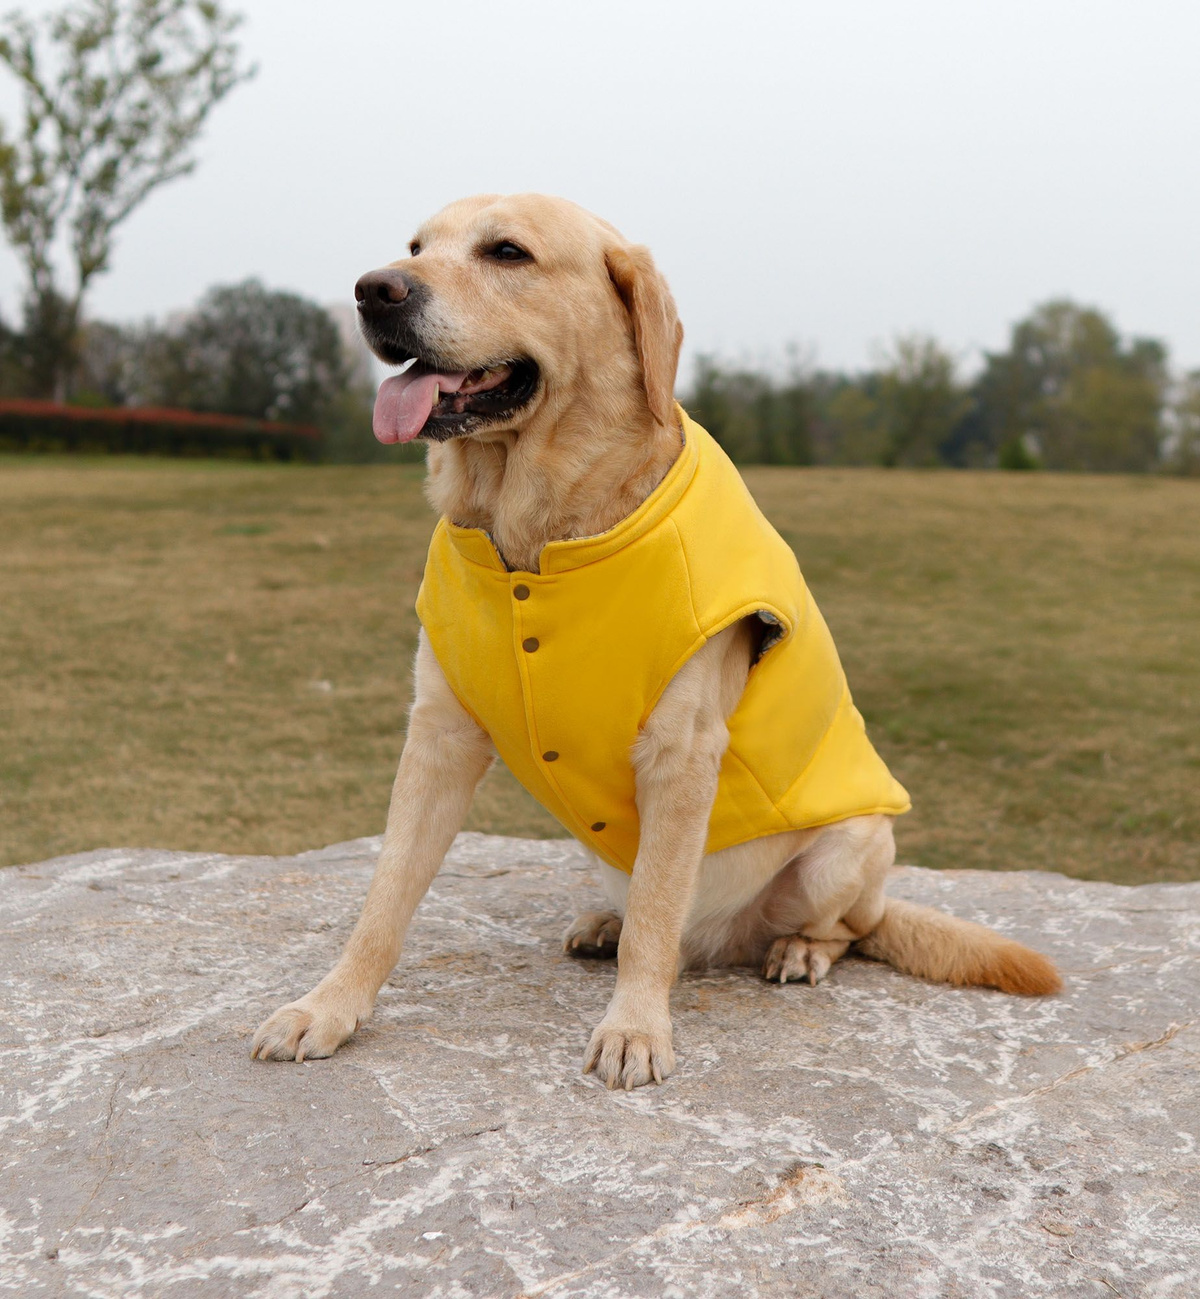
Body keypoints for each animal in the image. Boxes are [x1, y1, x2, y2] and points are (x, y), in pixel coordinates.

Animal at [250, 192, 1059, 1085]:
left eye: (508, 252)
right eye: (416, 247)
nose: (374, 290)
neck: (534, 539)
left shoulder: (681, 753)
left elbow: (657, 917)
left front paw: (636, 1026)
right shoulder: (438, 735)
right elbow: (384, 898)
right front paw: (329, 1006)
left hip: (845, 852)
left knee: (845, 928)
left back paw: (796, 949)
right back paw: (607, 923)